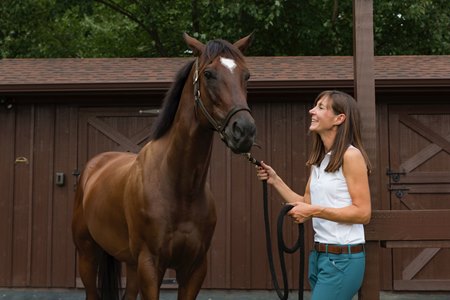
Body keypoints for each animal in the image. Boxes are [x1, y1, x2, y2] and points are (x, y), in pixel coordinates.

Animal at [72, 33, 256, 300]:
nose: (244, 131)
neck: (180, 188)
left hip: (131, 264)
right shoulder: (151, 264)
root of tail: (93, 168)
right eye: (209, 74)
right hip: (87, 254)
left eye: (246, 75)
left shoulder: (194, 268)